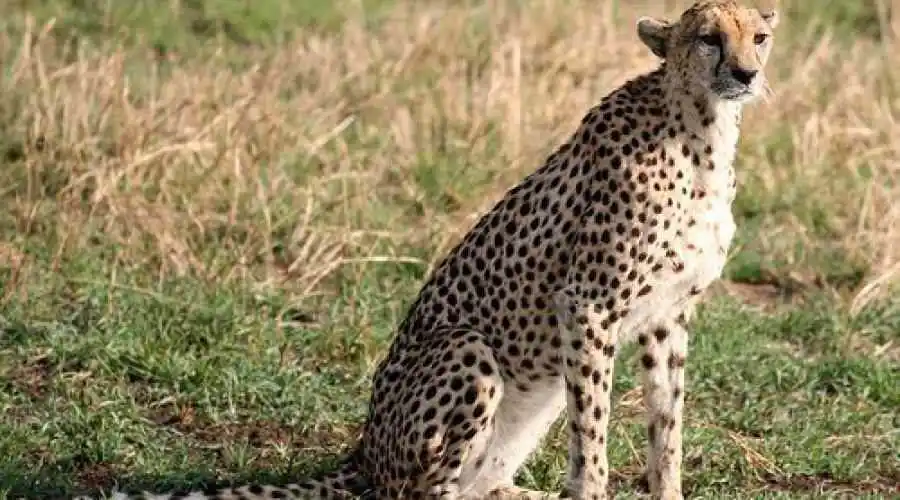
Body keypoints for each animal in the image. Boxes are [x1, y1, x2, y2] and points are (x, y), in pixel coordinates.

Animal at [76, 1, 778, 499]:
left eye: (759, 37)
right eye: (708, 37)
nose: (746, 74)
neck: (701, 130)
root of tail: (363, 450)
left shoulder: (665, 316)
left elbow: (667, 425)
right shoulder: (587, 307)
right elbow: (594, 439)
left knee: (476, 484)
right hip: (469, 350)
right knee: (422, 491)